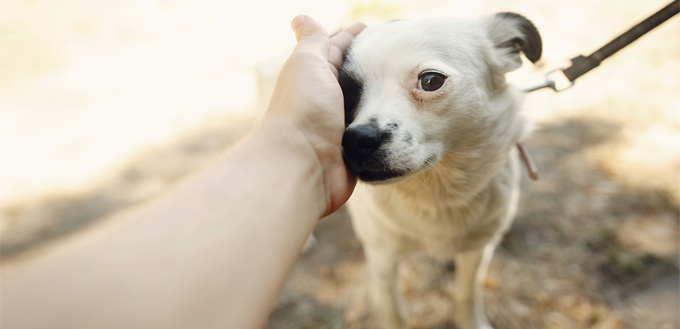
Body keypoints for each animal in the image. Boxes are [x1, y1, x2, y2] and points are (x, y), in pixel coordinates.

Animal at [340, 12, 540, 328]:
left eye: (431, 80)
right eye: (345, 91)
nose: (357, 140)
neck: (438, 193)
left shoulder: (477, 250)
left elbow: (468, 293)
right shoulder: (382, 258)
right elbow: (393, 311)